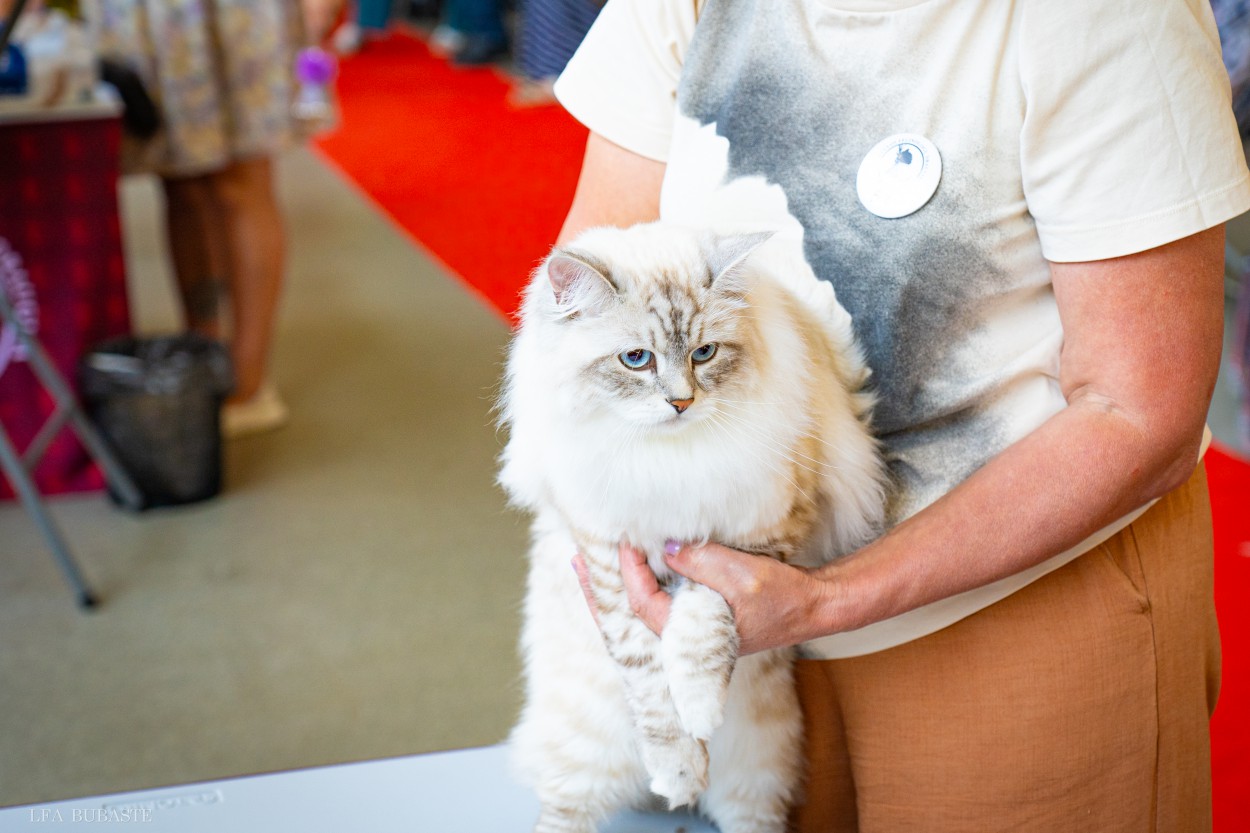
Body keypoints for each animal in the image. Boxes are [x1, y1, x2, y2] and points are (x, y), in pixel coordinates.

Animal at [497, 222, 887, 833]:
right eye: (636, 359)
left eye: (705, 354)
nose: (681, 403)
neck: (671, 456)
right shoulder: (610, 560)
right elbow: (654, 688)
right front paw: (680, 768)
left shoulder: (754, 538)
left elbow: (701, 620)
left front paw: (702, 708)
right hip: (580, 759)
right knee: (563, 813)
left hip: (757, 776)